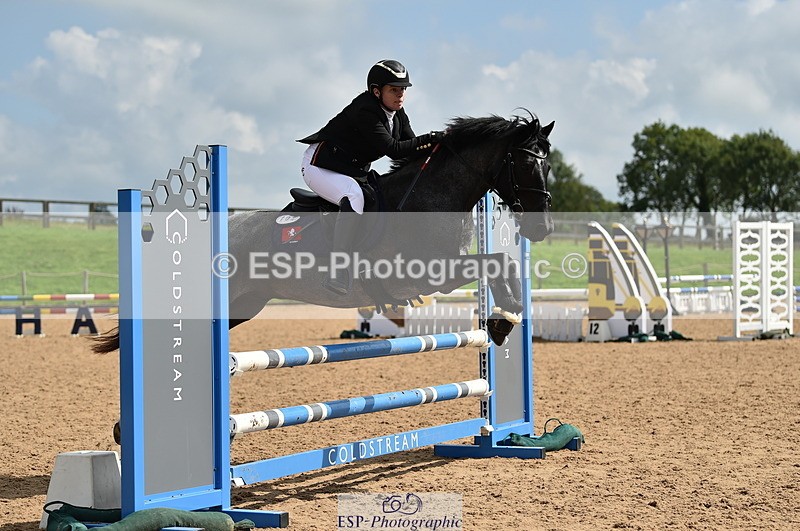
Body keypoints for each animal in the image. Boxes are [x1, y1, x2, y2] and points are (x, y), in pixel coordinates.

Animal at [92, 111, 554, 353]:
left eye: (547, 164)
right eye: (524, 163)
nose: (544, 227)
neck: (434, 194)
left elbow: (501, 263)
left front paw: (504, 319)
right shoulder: (427, 273)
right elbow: (494, 262)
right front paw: (503, 319)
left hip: (244, 304)